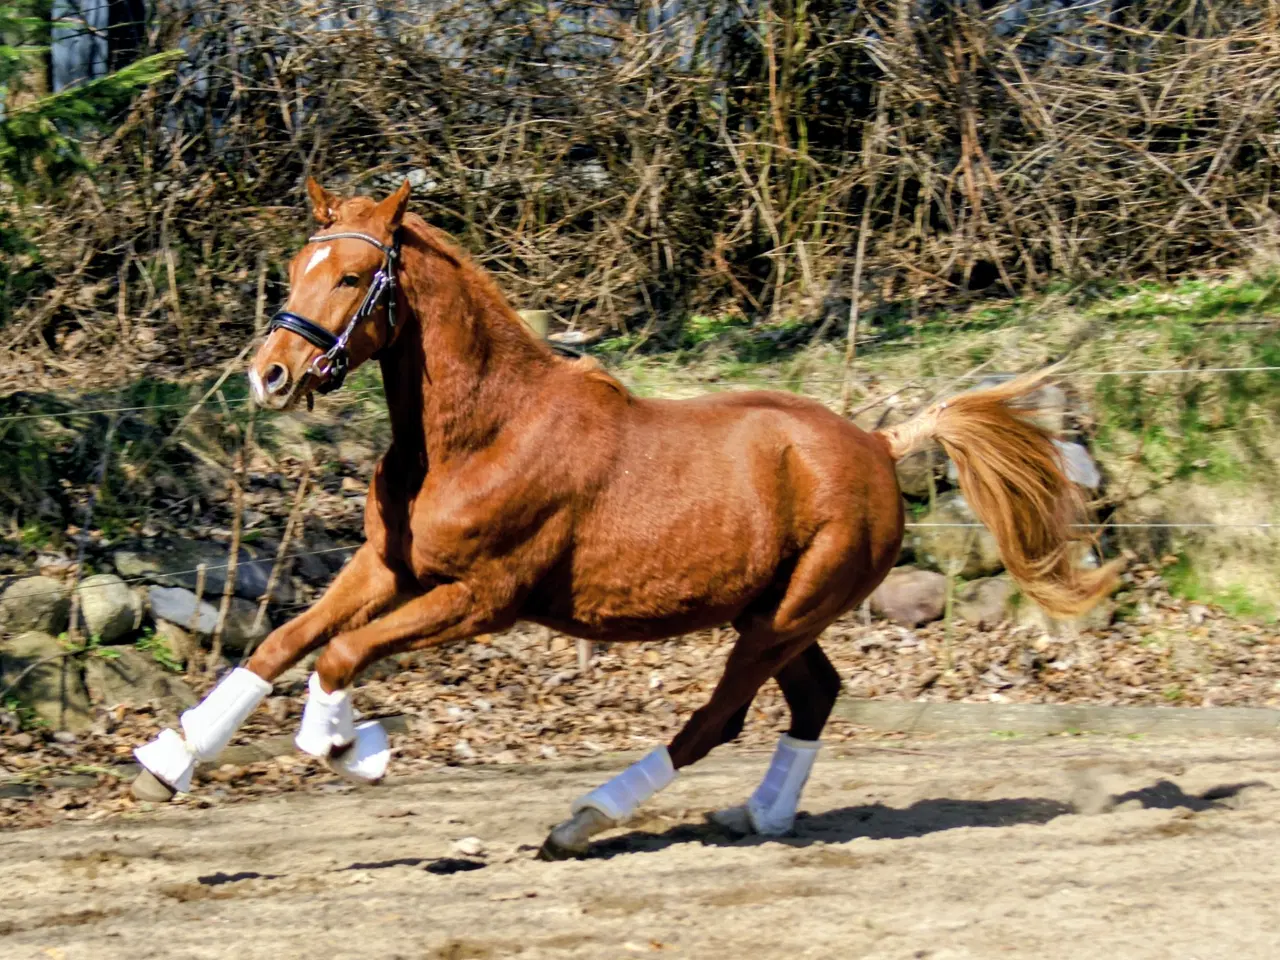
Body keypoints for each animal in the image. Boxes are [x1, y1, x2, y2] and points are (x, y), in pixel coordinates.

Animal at [132, 178, 1120, 859]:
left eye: (353, 273)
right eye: (296, 266)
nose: (270, 375)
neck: (482, 433)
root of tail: (880, 445)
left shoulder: (483, 598)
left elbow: (339, 654)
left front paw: (350, 748)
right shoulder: (388, 565)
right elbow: (281, 641)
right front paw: (171, 758)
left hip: (785, 614)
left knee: (719, 718)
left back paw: (585, 819)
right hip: (779, 615)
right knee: (814, 697)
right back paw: (758, 815)